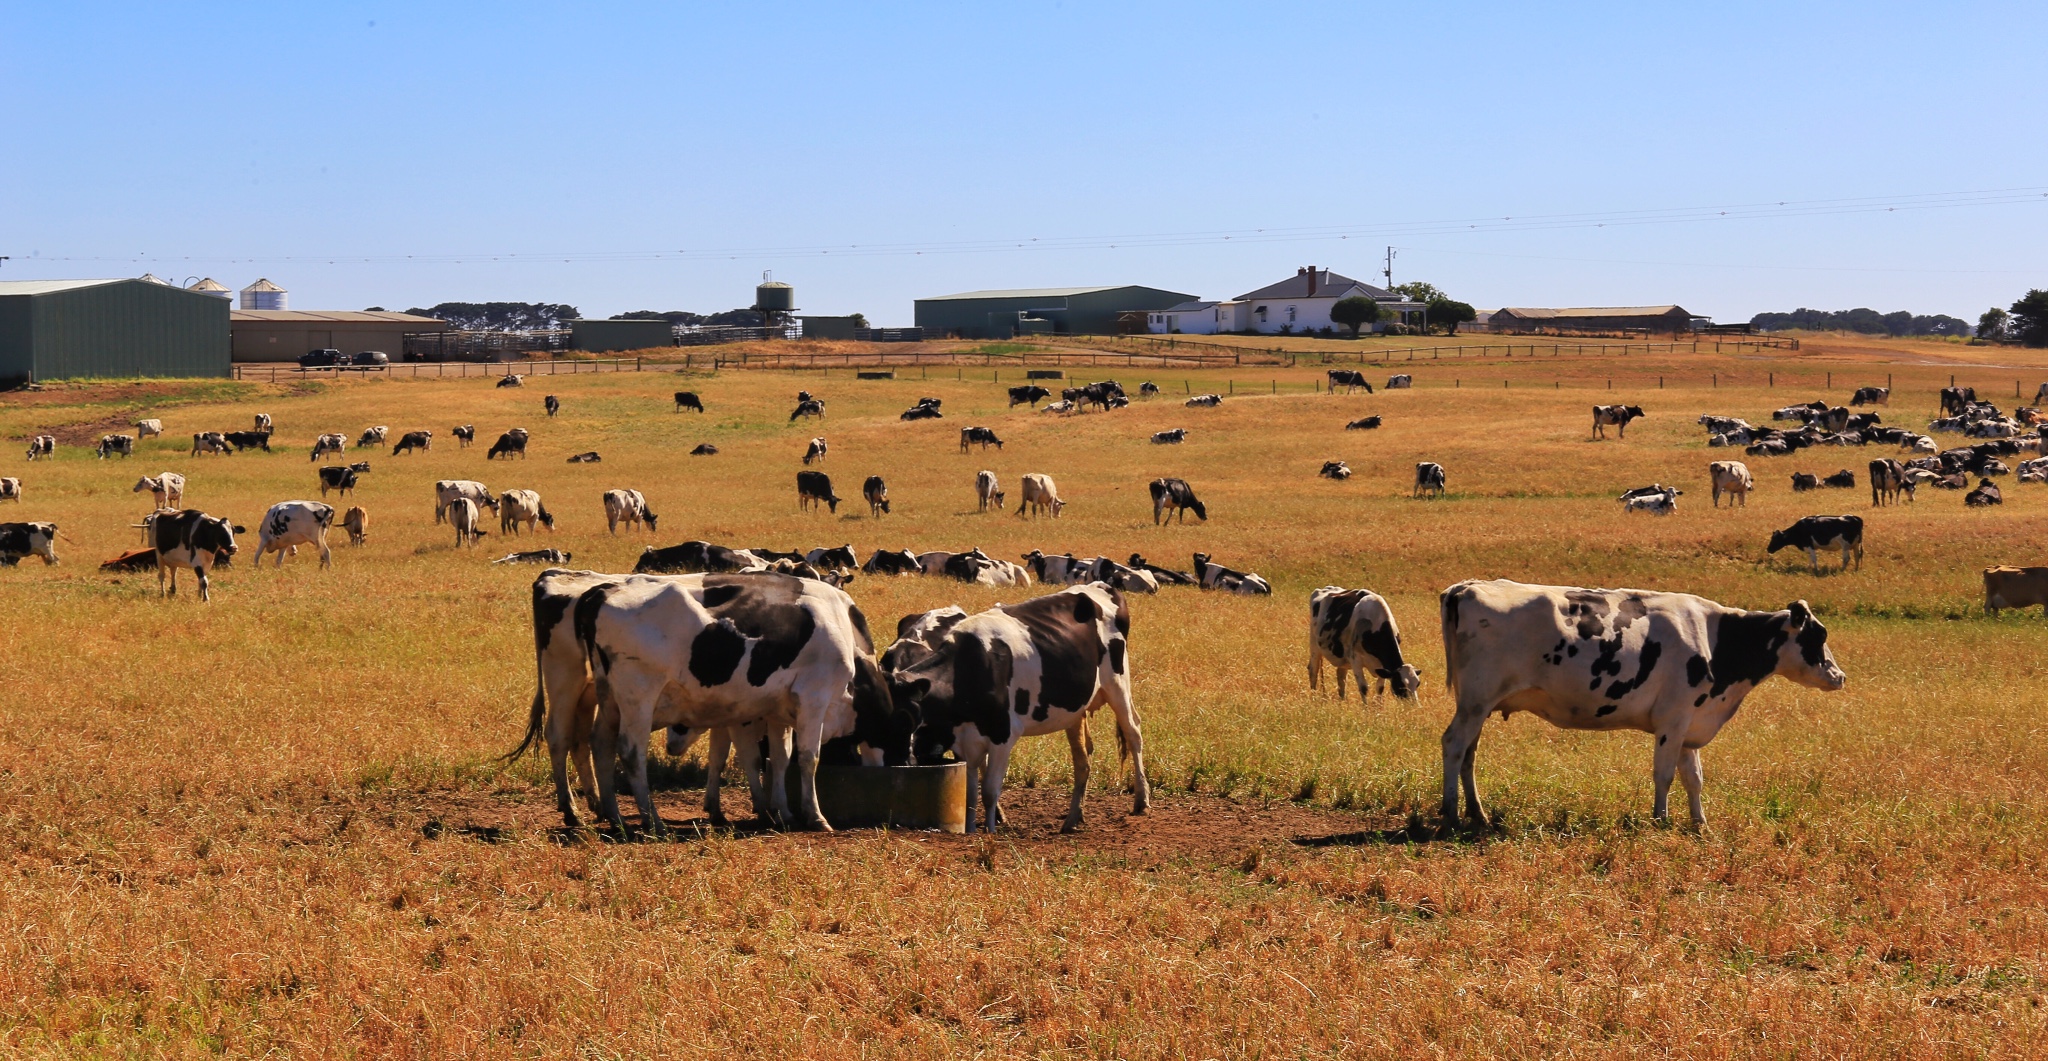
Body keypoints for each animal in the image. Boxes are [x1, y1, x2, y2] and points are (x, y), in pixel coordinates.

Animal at [561, 569, 905, 835]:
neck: (842, 628)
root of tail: (605, 590)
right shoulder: (814, 699)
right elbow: (809, 758)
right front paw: (815, 816)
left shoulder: (780, 712)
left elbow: (781, 759)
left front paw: (784, 813)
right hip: (639, 696)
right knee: (631, 752)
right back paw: (653, 821)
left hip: (610, 700)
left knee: (601, 745)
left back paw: (615, 816)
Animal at [1433, 581, 1851, 831]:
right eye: (1818, 635)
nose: (1840, 676)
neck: (1714, 638)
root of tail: (1466, 587)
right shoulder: (1673, 719)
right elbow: (1664, 775)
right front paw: (1660, 819)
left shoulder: (1690, 722)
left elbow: (1693, 777)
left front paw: (1700, 824)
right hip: (1475, 701)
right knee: (1453, 745)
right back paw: (1452, 813)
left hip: (1478, 704)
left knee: (1469, 753)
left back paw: (1477, 813)